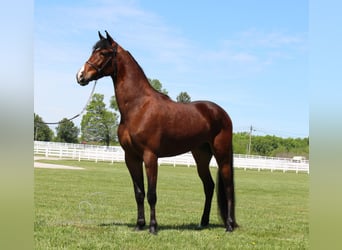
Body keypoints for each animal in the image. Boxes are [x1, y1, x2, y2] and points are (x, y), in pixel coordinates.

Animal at [76, 31, 238, 234]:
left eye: (104, 53)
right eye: (93, 51)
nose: (81, 75)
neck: (138, 106)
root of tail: (221, 113)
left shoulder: (150, 156)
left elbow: (152, 194)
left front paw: (153, 227)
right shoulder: (131, 157)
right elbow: (139, 193)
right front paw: (139, 225)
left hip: (221, 154)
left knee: (228, 186)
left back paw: (229, 225)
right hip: (201, 156)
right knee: (209, 186)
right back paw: (203, 222)